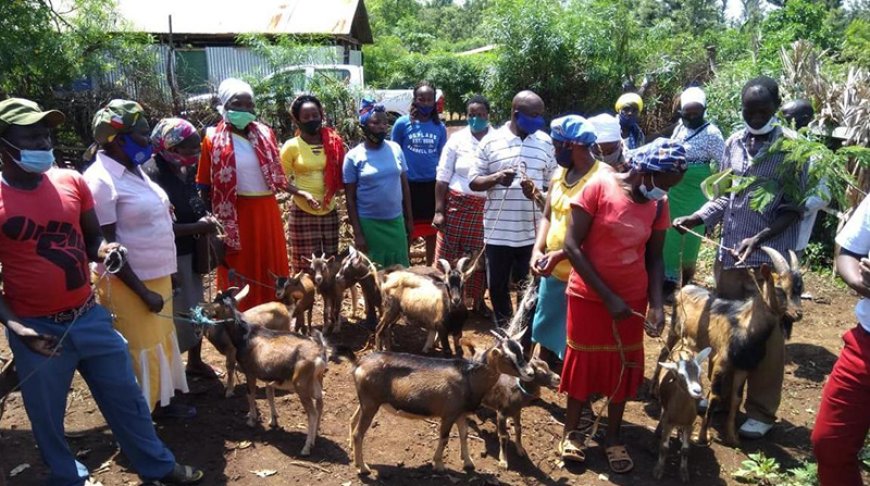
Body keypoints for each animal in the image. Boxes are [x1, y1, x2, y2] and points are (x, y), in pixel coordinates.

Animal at [203, 284, 352, 456]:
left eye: (215, 301)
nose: (203, 310)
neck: (246, 334)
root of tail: (320, 352)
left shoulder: (250, 372)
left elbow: (250, 394)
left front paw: (251, 420)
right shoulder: (271, 377)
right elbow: (269, 393)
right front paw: (273, 419)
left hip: (301, 385)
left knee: (312, 413)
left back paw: (306, 447)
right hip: (317, 381)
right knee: (320, 405)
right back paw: (315, 437)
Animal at [350, 326, 536, 474]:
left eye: (521, 350)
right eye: (507, 357)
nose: (530, 373)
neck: (468, 377)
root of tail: (359, 363)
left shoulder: (461, 413)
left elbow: (464, 434)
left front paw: (468, 463)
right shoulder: (449, 414)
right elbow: (445, 437)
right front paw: (439, 465)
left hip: (366, 402)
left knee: (353, 420)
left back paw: (352, 452)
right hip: (371, 404)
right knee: (359, 433)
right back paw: (363, 468)